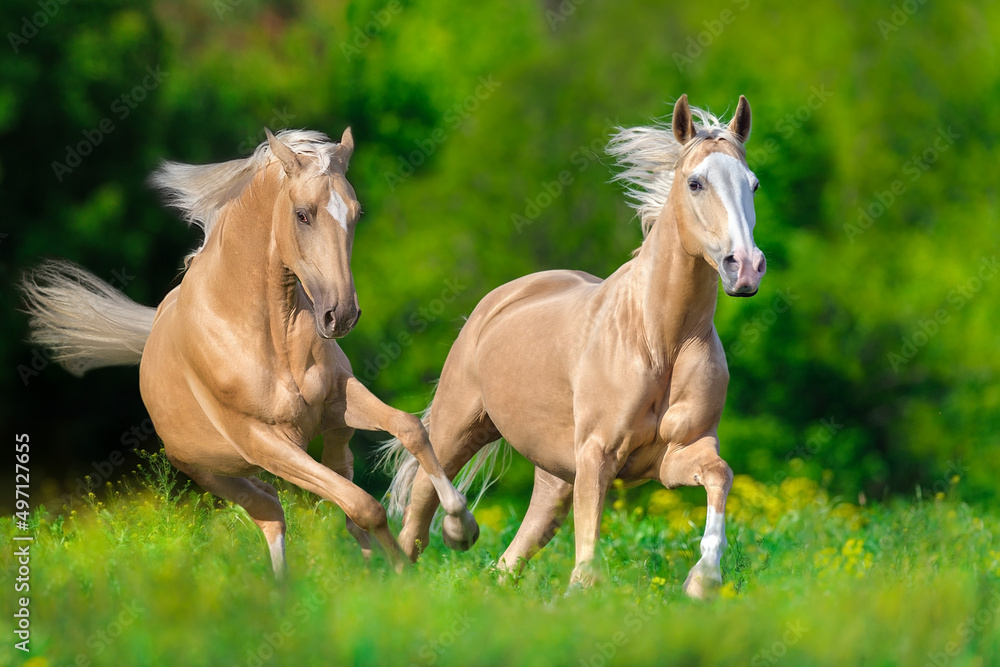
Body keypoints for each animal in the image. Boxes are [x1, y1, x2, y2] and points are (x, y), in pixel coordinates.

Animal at [21, 128, 479, 577]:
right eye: (302, 214)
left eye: (356, 212)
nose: (341, 315)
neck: (268, 334)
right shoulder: (265, 442)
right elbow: (364, 505)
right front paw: (403, 574)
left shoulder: (338, 399)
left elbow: (409, 428)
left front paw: (460, 525)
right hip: (214, 473)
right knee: (274, 511)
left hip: (332, 435)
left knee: (314, 497)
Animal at [381, 95, 765, 597]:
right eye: (695, 182)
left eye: (753, 184)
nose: (746, 268)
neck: (661, 340)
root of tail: (497, 302)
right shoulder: (597, 454)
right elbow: (588, 557)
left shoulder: (676, 455)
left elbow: (720, 475)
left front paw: (703, 579)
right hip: (457, 428)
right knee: (418, 513)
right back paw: (450, 536)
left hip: (554, 476)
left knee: (511, 557)